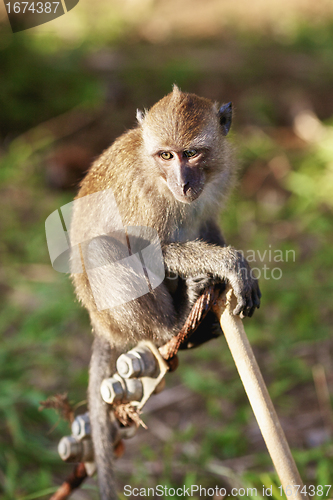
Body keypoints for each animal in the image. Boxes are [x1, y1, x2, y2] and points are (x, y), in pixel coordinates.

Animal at [69, 85, 260, 496]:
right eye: (166, 155)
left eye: (192, 153)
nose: (184, 184)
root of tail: (100, 325)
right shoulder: (147, 195)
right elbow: (149, 249)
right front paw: (229, 264)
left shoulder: (219, 175)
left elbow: (207, 222)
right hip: (116, 316)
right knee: (102, 249)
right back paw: (175, 325)